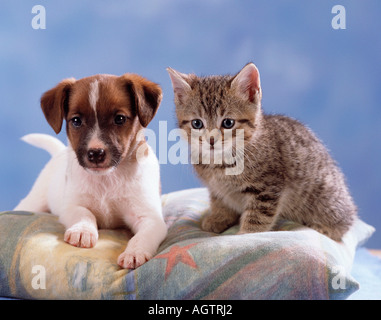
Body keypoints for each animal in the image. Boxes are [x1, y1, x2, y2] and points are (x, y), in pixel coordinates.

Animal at [15, 74, 166, 268]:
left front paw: (135, 252)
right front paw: (82, 231)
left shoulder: (150, 218)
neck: (108, 179)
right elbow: (85, 213)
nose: (95, 153)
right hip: (33, 202)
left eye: (120, 119)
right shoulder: (71, 206)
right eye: (76, 121)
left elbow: (142, 236)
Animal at [166, 63, 356, 241]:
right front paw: (218, 218)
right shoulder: (217, 189)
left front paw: (246, 234)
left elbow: (258, 216)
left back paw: (325, 228)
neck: (220, 163)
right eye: (197, 123)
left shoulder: (268, 188)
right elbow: (220, 202)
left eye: (228, 123)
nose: (211, 140)